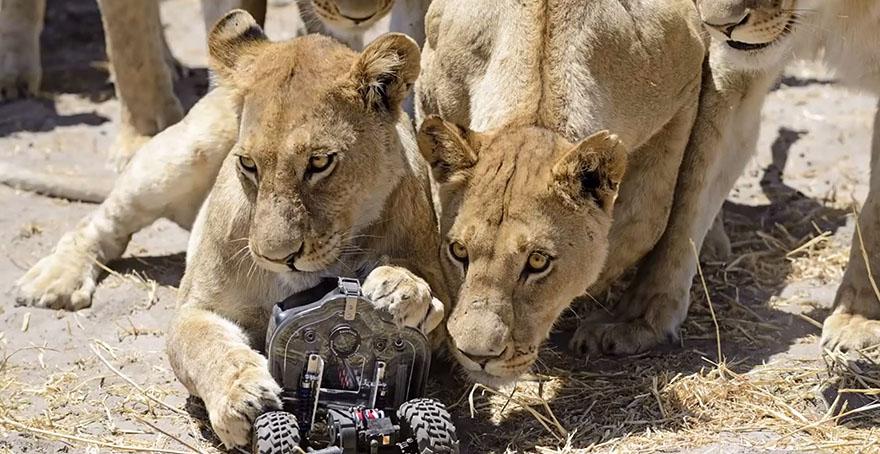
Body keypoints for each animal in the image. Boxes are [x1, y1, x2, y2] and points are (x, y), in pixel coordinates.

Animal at [412, 0, 708, 384]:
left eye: (538, 261)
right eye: (459, 251)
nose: (477, 355)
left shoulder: (685, 91)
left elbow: (644, 221)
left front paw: (607, 315)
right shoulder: (427, 92)